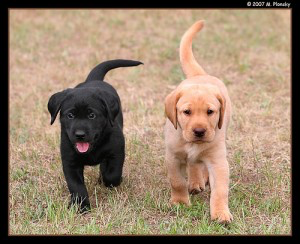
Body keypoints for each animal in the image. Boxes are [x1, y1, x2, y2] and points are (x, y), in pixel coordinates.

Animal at [47, 59, 143, 212]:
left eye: (91, 115)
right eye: (70, 115)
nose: (80, 135)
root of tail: (93, 80)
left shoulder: (116, 152)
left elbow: (112, 175)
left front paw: (109, 181)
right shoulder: (70, 162)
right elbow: (76, 186)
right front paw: (81, 206)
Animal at [164, 20, 232, 223]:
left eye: (210, 112)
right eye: (187, 112)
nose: (199, 132)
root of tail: (198, 75)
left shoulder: (218, 162)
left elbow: (220, 191)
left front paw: (220, 213)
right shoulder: (172, 157)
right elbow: (177, 181)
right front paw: (180, 202)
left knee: (197, 163)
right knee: (193, 163)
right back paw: (194, 182)